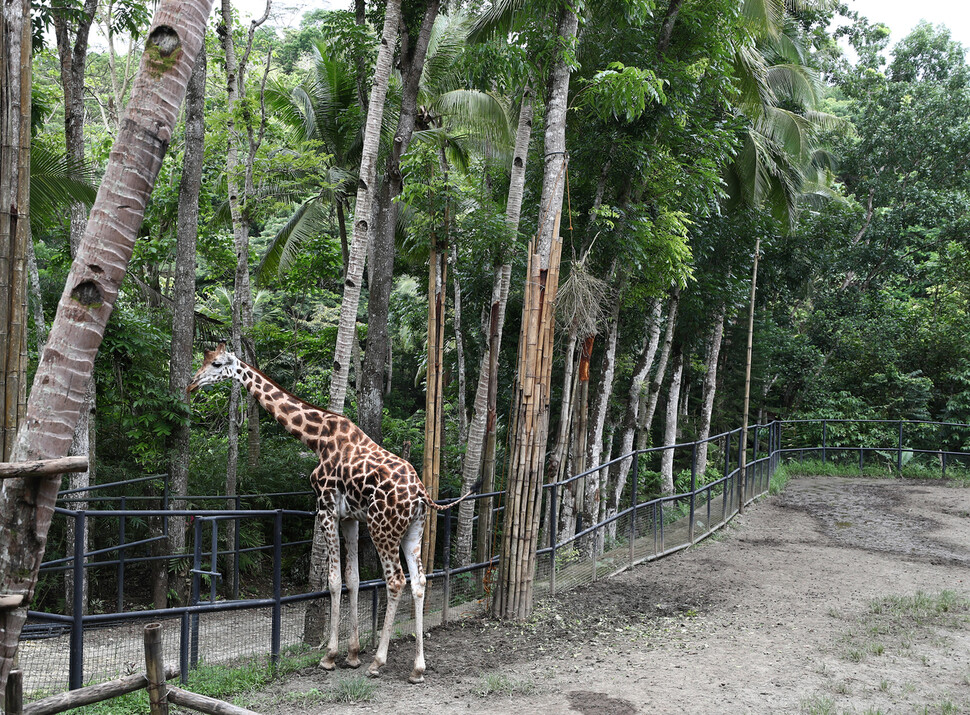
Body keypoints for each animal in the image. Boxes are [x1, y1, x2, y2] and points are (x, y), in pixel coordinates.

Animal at [185, 344, 476, 684]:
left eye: (217, 364)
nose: (191, 384)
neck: (316, 438)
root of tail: (420, 493)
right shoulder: (349, 517)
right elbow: (353, 579)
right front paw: (352, 655)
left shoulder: (325, 508)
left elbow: (334, 580)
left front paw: (330, 656)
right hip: (413, 530)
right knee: (419, 581)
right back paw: (417, 668)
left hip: (382, 528)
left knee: (395, 581)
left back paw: (379, 661)